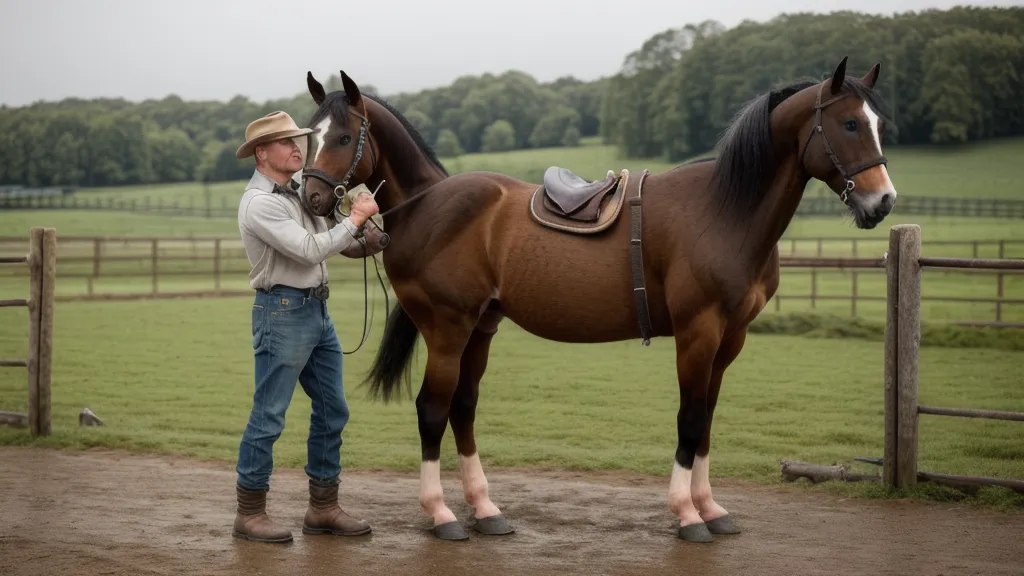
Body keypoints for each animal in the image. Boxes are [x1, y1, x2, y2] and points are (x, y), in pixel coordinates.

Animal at [300, 56, 897, 543]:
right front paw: (686, 514)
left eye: (873, 124)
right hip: (447, 329)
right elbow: (689, 418)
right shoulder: (698, 333)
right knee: (433, 410)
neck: (723, 210)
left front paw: (709, 507)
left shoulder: (731, 338)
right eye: (848, 124)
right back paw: (441, 514)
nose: (883, 202)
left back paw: (485, 509)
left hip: (479, 329)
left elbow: (706, 418)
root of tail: (425, 199)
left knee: (462, 409)